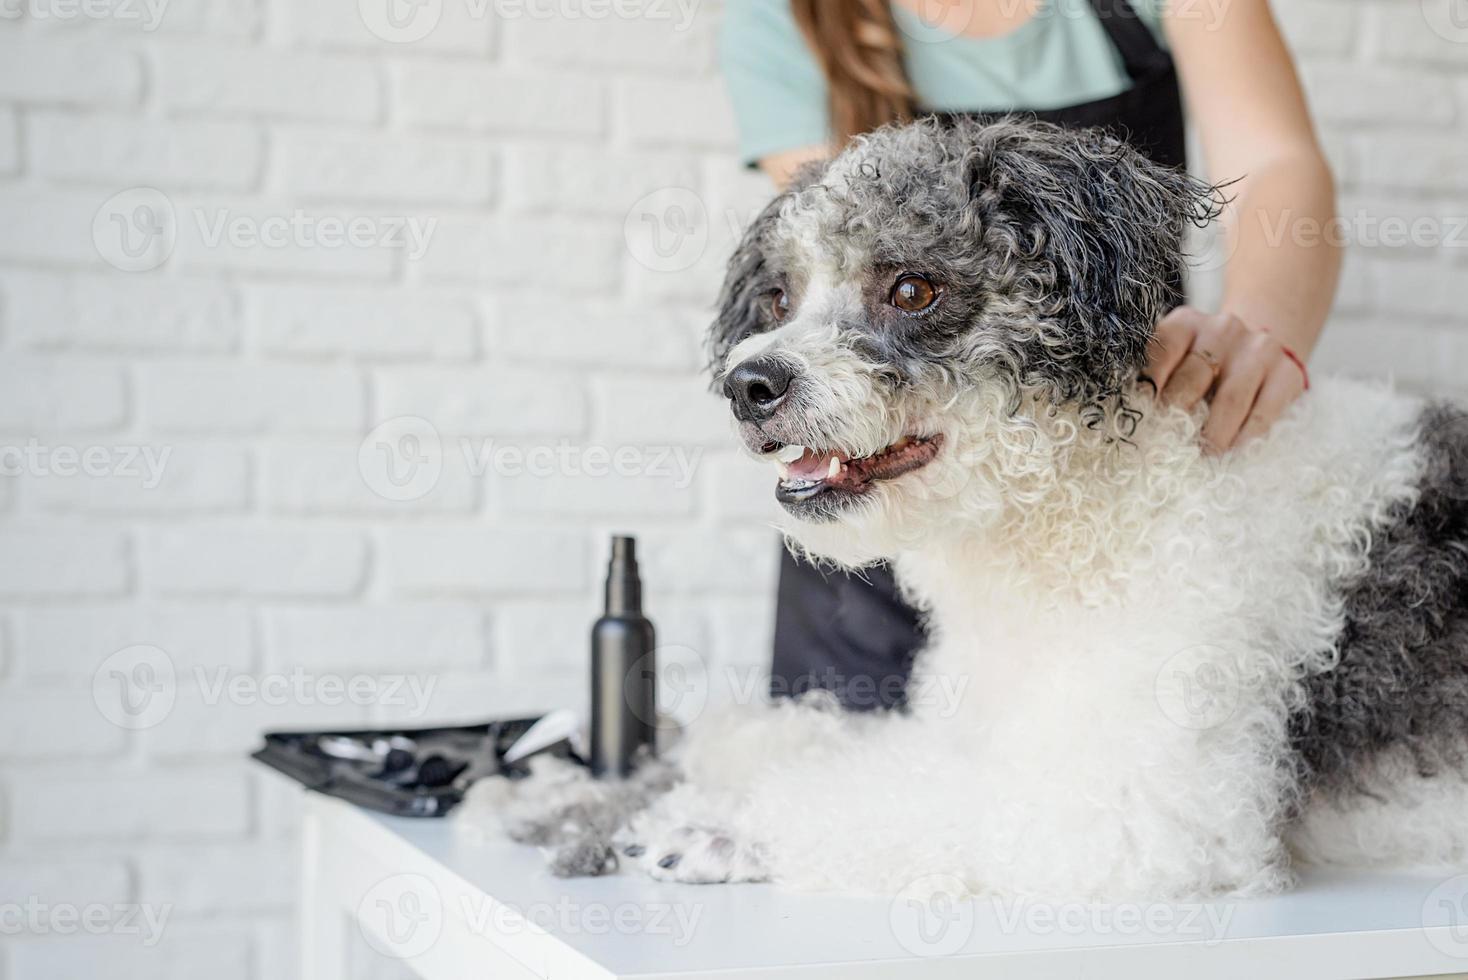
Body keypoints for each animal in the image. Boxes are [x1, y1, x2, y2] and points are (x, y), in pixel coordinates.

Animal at [469, 118, 1468, 897]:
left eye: (913, 288)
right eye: (781, 296)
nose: (747, 385)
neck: (1085, 517)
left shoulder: (1135, 807)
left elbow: (866, 805)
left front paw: (713, 827)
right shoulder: (961, 731)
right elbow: (819, 746)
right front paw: (583, 793)